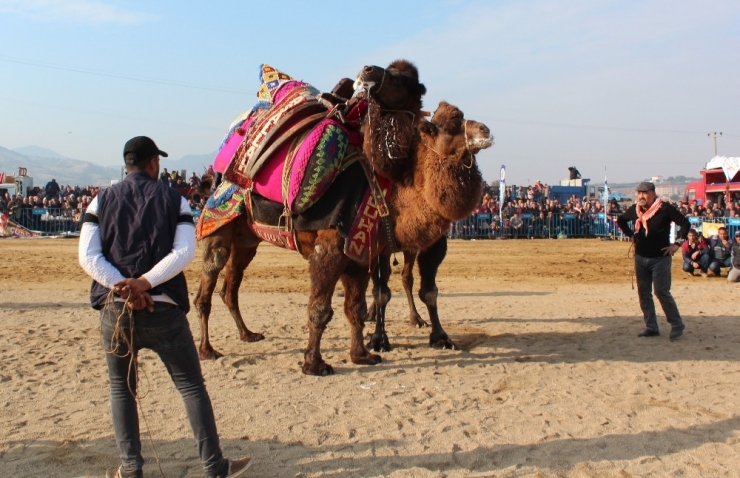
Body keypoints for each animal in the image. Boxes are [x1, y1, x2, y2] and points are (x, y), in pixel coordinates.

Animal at [194, 60, 492, 374]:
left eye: (460, 118)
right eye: (448, 126)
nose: (485, 130)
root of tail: (217, 174)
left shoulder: (361, 251)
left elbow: (356, 308)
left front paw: (362, 354)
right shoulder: (331, 248)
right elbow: (321, 308)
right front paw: (314, 363)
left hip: (247, 239)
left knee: (231, 287)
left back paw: (247, 334)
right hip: (217, 223)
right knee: (206, 288)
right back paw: (207, 349)